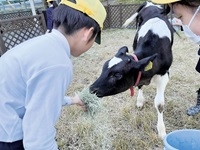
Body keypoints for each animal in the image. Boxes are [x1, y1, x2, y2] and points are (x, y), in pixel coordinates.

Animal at [90, 1, 174, 139]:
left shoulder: (164, 73)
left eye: (117, 75)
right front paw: (140, 102)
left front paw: (161, 130)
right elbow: (139, 84)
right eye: (103, 68)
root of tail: (151, 4)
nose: (92, 89)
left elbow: (159, 104)